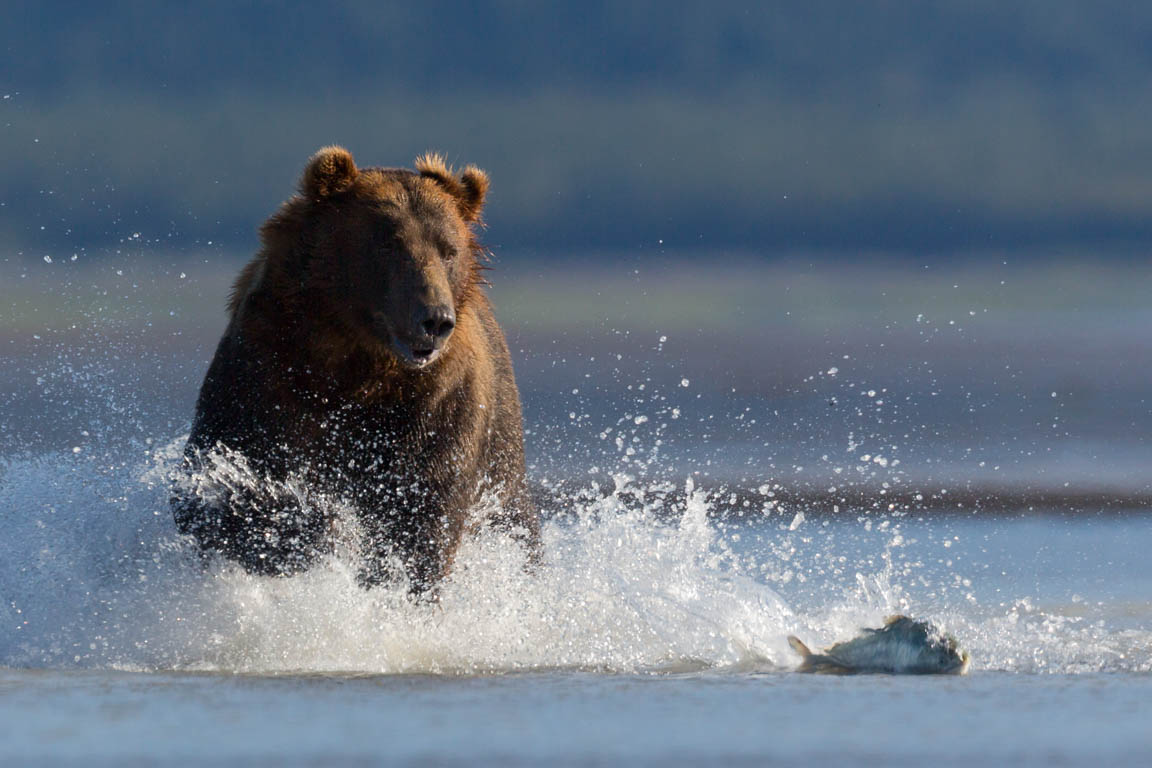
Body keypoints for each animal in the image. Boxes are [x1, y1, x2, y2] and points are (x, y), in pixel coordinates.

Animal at [171, 147, 539, 594]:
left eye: (449, 250)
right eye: (389, 244)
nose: (435, 318)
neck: (359, 364)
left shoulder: (438, 405)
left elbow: (422, 518)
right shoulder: (263, 373)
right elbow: (227, 485)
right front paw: (300, 528)